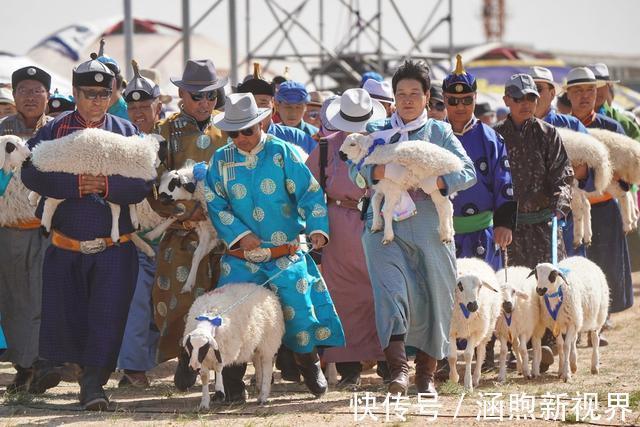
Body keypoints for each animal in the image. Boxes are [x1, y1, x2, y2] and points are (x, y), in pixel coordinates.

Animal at [29, 129, 160, 244]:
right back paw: (45, 227)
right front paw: (115, 235)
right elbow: (117, 210)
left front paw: (134, 221)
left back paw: (33, 198)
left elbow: (132, 203)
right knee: (50, 203)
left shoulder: (127, 187)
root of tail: (40, 151)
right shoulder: (116, 185)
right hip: (62, 183)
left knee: (43, 190)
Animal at [152, 166, 220, 294]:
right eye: (161, 183)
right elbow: (173, 216)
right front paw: (153, 233)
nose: (161, 199)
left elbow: (197, 255)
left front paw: (188, 284)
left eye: (174, 183)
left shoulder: (208, 229)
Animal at [181, 282, 284, 410]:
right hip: (256, 343)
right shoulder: (203, 360)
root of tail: (266, 290)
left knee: (267, 367)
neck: (209, 319)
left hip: (268, 341)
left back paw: (263, 396)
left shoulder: (223, 351)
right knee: (258, 363)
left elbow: (218, 368)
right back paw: (259, 387)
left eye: (204, 347)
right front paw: (204, 403)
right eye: (190, 346)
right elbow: (205, 377)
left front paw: (220, 391)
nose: (193, 366)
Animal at [448, 258, 502, 392]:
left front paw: (468, 384)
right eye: (460, 285)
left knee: (481, 351)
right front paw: (454, 378)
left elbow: (468, 355)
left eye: (480, 286)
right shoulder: (450, 331)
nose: (473, 306)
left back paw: (476, 377)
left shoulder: (474, 331)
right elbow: (452, 356)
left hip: (486, 330)